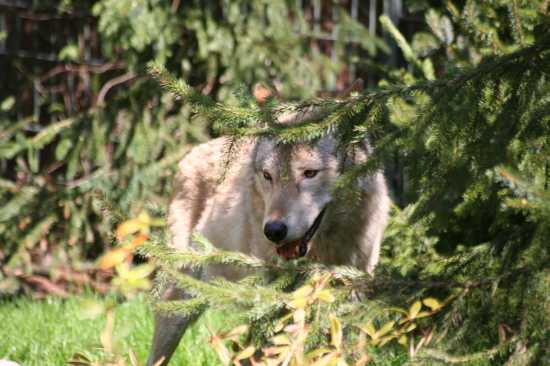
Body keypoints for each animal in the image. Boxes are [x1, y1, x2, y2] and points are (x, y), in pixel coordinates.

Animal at [147, 104, 392, 364]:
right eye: (267, 176)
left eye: (309, 173)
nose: (274, 230)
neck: (323, 256)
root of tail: (191, 152)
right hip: (180, 304)